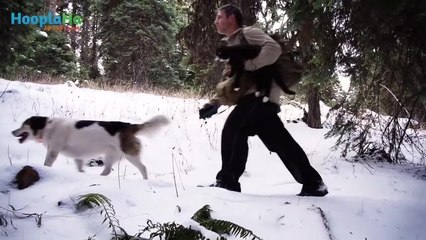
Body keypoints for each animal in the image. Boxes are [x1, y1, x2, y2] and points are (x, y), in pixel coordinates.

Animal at [11, 115, 168, 179]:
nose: (12, 132)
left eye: (23, 125)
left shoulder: (53, 151)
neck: (47, 127)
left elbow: (47, 163)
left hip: (129, 154)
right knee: (107, 170)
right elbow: (80, 168)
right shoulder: (78, 157)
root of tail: (129, 126)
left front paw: (45, 170)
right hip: (110, 155)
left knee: (143, 168)